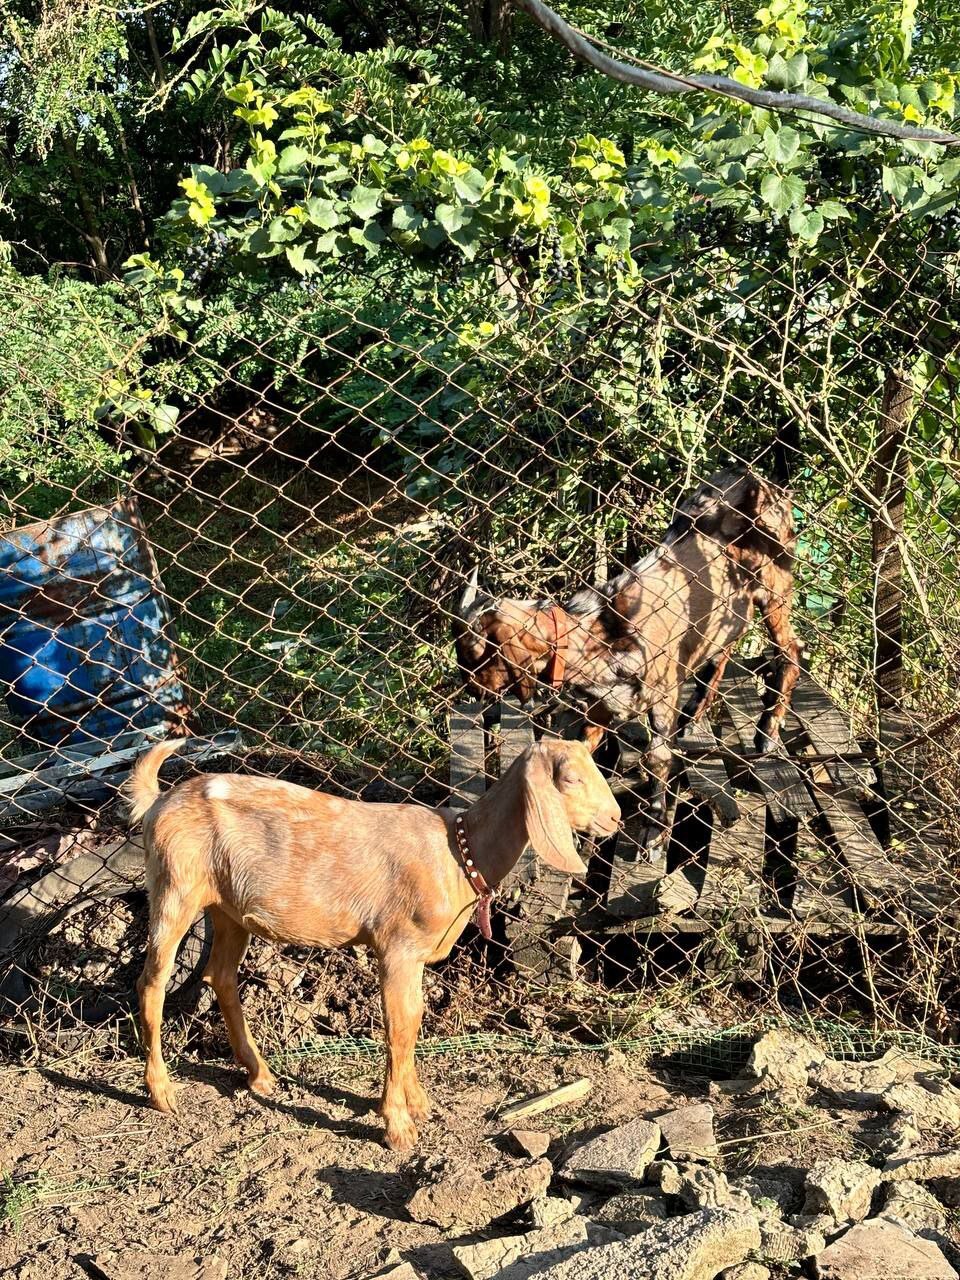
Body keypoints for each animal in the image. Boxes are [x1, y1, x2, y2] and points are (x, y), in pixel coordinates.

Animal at [129, 737, 624, 1146]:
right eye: (571, 778)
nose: (616, 817)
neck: (458, 853)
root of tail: (159, 802)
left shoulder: (416, 956)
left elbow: (415, 1020)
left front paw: (419, 1103)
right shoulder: (397, 946)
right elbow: (398, 1026)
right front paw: (398, 1126)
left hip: (228, 909)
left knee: (221, 977)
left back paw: (260, 1075)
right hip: (175, 886)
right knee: (152, 983)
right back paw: (161, 1092)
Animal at [455, 468, 798, 849]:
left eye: (479, 654)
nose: (471, 688)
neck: (598, 633)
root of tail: (759, 480)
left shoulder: (662, 695)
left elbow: (658, 757)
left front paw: (656, 829)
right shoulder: (602, 707)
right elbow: (582, 754)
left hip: (776, 585)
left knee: (791, 649)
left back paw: (768, 729)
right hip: (729, 609)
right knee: (724, 646)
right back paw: (697, 711)